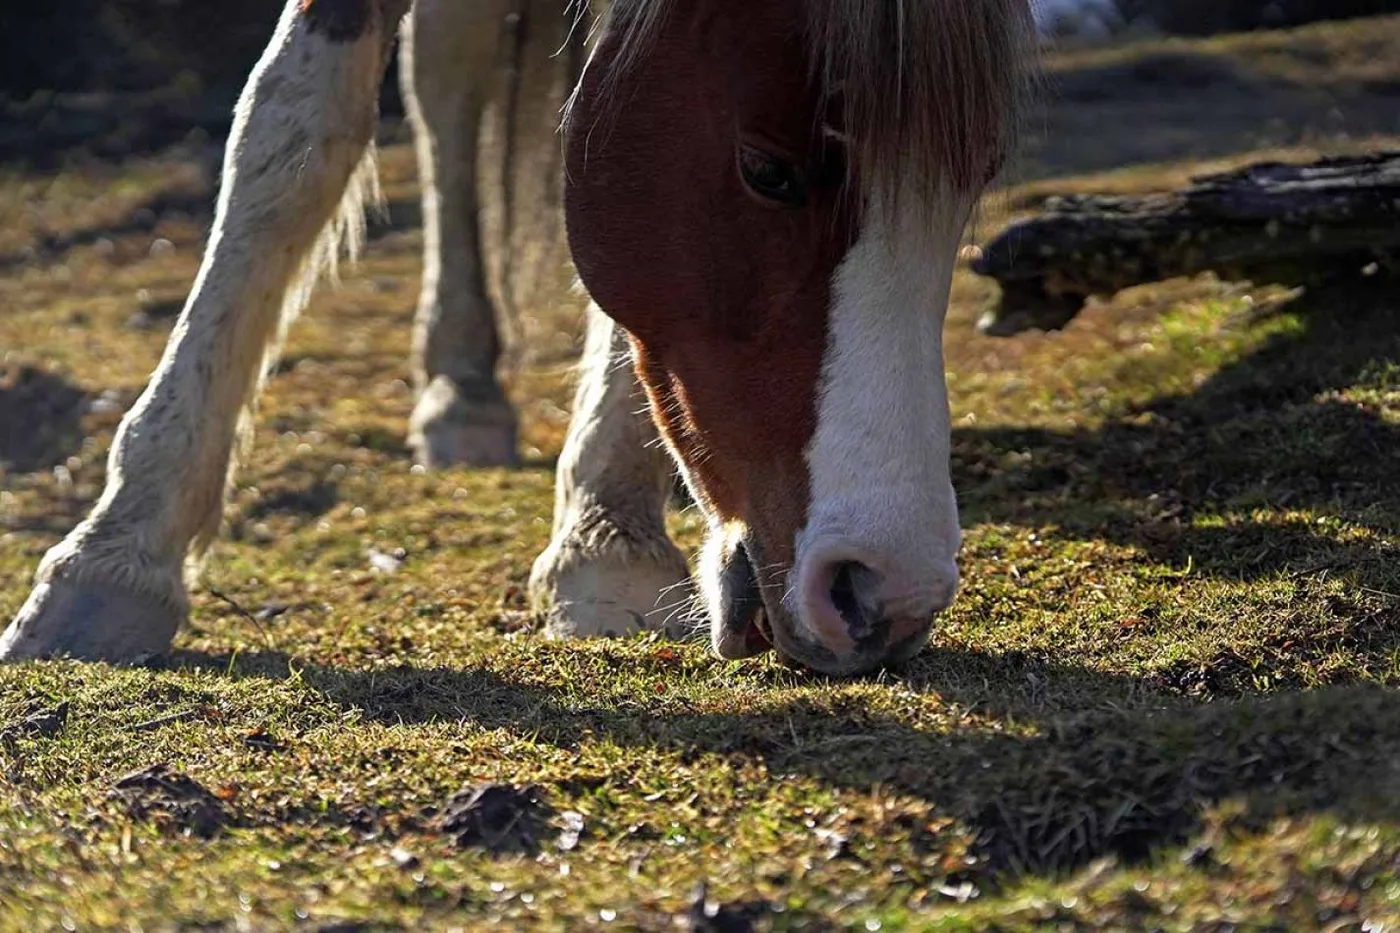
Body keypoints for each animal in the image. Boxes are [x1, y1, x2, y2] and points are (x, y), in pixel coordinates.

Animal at [0, 0, 1036, 672]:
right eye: (767, 170)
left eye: (976, 177)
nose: (884, 593)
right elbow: (291, 125)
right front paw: (116, 553)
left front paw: (605, 533)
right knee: (441, 74)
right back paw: (460, 388)